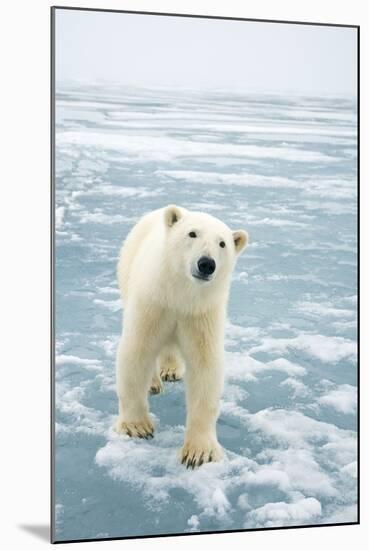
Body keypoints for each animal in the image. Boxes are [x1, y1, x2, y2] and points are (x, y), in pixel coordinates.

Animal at [115, 206, 247, 470]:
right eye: (192, 233)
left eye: (222, 243)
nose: (206, 264)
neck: (180, 295)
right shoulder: (153, 301)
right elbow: (137, 351)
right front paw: (137, 426)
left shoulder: (200, 313)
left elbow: (205, 366)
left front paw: (199, 452)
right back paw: (153, 382)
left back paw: (170, 370)